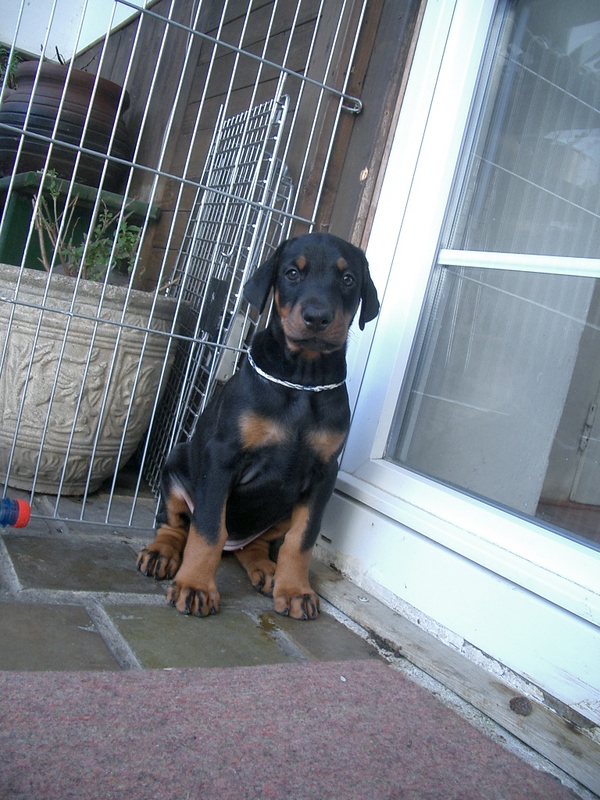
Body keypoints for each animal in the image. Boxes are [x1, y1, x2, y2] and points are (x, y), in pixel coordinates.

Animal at [137, 232, 379, 619]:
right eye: (292, 273)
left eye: (348, 279)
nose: (317, 317)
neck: (302, 381)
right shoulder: (222, 458)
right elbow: (208, 529)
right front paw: (195, 586)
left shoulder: (324, 474)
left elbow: (302, 539)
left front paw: (295, 590)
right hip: (176, 465)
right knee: (175, 524)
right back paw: (161, 553)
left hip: (279, 510)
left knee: (254, 545)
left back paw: (267, 570)